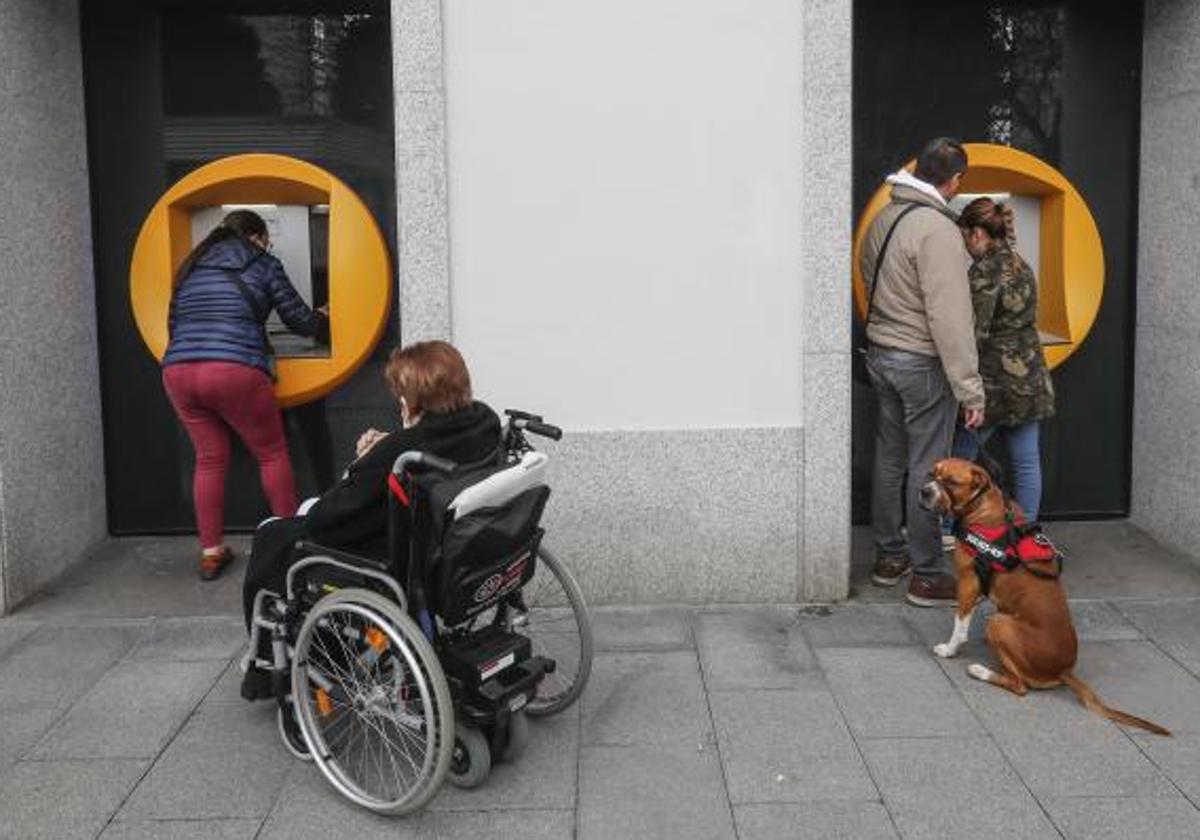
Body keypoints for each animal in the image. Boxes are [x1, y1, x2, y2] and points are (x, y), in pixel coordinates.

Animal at [921, 458, 1166, 734]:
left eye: (951, 482)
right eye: (932, 474)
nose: (924, 491)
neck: (981, 505)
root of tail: (1063, 671)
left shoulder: (968, 583)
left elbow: (959, 624)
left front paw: (950, 649)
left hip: (999, 624)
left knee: (1020, 687)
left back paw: (980, 671)